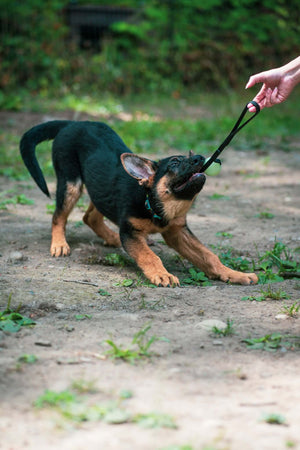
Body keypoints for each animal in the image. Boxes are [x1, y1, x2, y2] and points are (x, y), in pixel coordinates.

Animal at [19, 121, 258, 286]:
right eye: (174, 163)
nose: (199, 157)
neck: (153, 204)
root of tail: (72, 123)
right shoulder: (130, 232)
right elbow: (149, 256)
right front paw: (162, 274)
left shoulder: (177, 232)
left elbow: (209, 256)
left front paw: (234, 274)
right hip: (70, 184)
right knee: (58, 216)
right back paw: (59, 244)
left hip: (97, 187)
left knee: (90, 216)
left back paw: (111, 238)